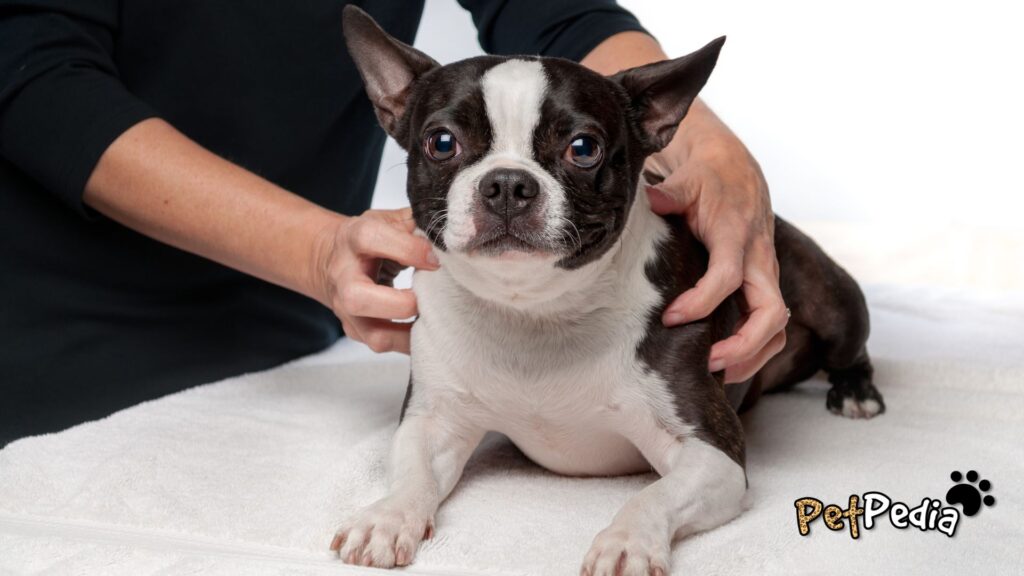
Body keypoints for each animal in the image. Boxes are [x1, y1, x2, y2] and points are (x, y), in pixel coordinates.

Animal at [331, 6, 884, 569]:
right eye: (442, 142)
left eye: (584, 149)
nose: (506, 183)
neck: (533, 310)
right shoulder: (432, 420)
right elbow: (412, 474)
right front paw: (386, 517)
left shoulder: (711, 454)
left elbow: (653, 494)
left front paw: (627, 541)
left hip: (828, 296)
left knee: (850, 345)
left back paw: (856, 394)